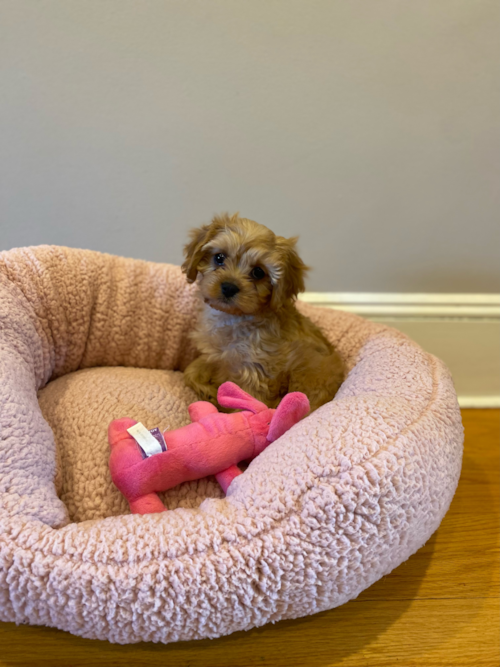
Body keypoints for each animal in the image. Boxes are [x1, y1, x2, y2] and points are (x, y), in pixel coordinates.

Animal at [183, 214, 344, 412]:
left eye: (258, 272)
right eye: (219, 257)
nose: (229, 287)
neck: (233, 318)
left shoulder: (256, 372)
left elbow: (247, 403)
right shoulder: (214, 356)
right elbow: (191, 370)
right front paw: (209, 392)